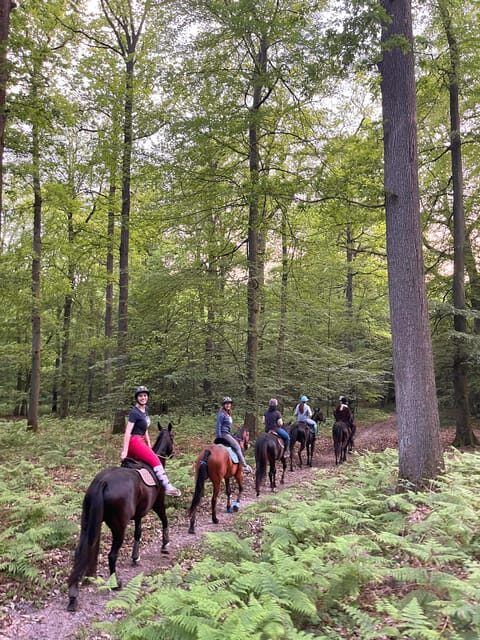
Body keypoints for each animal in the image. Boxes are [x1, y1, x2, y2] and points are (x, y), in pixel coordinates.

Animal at [67, 422, 175, 612]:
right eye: (173, 437)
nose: (173, 453)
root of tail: (102, 482)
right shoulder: (158, 505)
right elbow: (164, 521)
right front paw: (165, 545)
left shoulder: (139, 514)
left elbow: (138, 533)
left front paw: (135, 557)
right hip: (119, 526)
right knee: (112, 555)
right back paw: (116, 583)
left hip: (88, 522)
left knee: (81, 550)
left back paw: (76, 592)